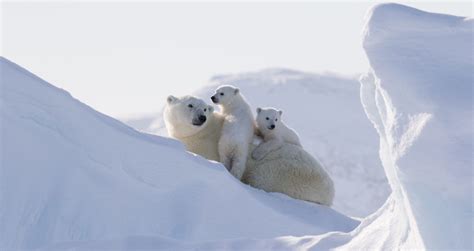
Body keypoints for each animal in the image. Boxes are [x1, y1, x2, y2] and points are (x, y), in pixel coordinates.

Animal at [165, 94, 336, 206]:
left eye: (205, 109)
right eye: (190, 105)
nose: (201, 117)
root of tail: (330, 191)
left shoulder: (210, 147)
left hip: (284, 173)